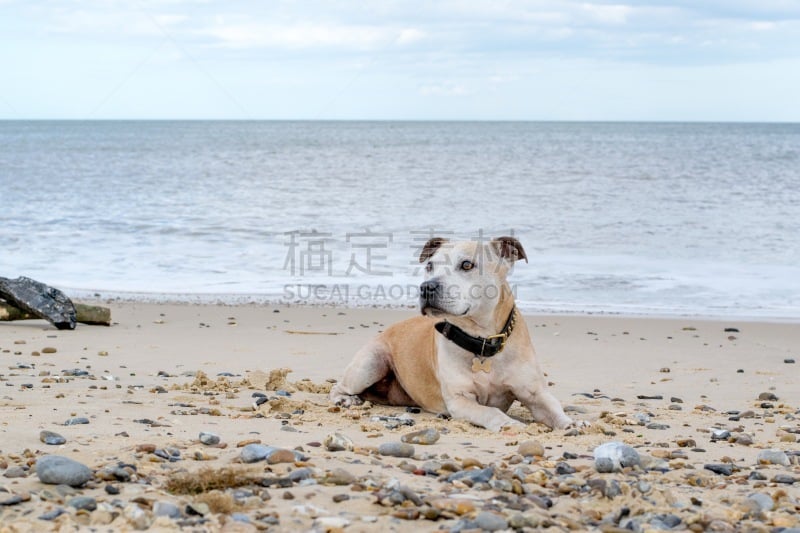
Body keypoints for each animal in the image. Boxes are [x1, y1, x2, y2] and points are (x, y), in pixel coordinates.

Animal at [328, 237, 572, 432]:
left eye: (466, 264)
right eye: (429, 266)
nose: (426, 287)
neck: (482, 341)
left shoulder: (534, 393)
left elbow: (553, 408)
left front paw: (570, 424)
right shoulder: (460, 401)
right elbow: (490, 412)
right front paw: (508, 423)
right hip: (371, 362)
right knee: (338, 386)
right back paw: (345, 399)